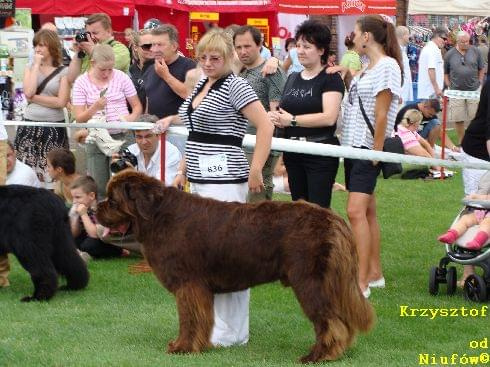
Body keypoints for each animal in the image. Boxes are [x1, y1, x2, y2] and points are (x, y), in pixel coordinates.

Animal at [97, 171, 374, 364]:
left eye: (112, 201)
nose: (93, 208)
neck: (157, 216)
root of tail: (333, 219)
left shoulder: (188, 284)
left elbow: (189, 319)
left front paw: (182, 347)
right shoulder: (197, 288)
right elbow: (201, 319)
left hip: (309, 281)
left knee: (330, 321)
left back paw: (318, 356)